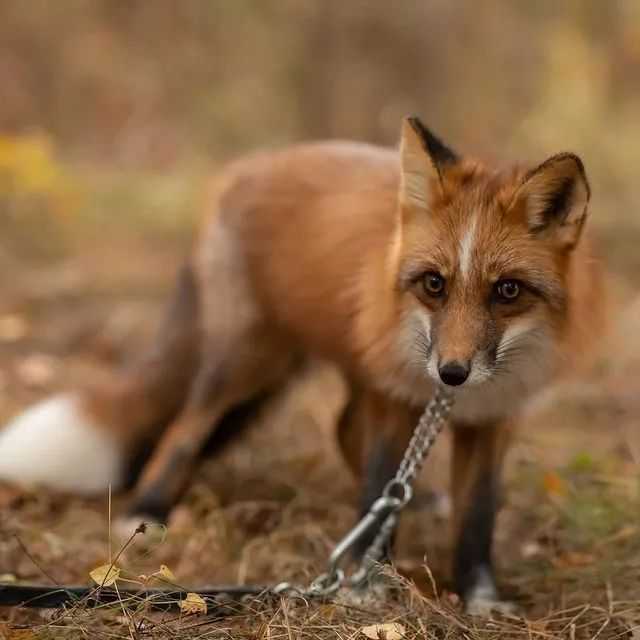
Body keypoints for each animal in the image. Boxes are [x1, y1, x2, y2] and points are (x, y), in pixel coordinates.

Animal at [0, 117, 604, 612]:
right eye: (435, 284)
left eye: (508, 291)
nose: (451, 373)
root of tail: (248, 164)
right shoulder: (394, 394)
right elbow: (380, 482)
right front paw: (368, 587)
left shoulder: (491, 418)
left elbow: (476, 518)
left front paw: (481, 599)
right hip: (249, 365)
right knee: (184, 429)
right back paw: (146, 510)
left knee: (342, 431)